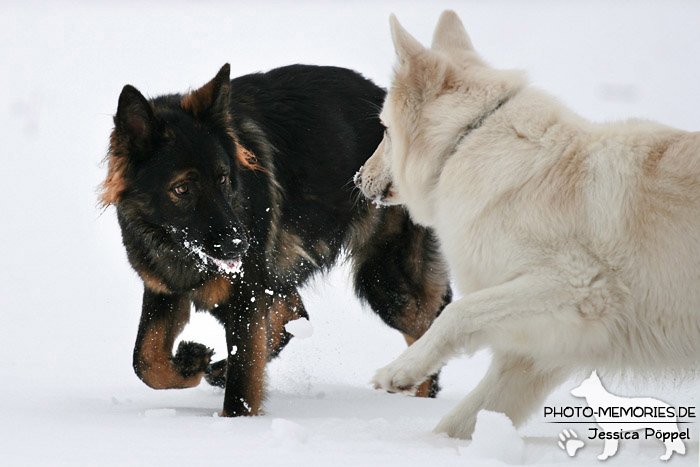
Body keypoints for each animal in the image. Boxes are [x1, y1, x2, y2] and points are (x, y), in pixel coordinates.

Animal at [98, 63, 452, 416]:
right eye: (182, 189)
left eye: (223, 179)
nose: (240, 246)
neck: (175, 245)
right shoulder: (165, 289)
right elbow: (145, 361)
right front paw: (191, 362)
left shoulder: (245, 293)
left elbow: (242, 382)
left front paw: (235, 422)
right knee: (293, 316)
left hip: (384, 281)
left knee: (428, 329)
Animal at [358, 11, 700, 442]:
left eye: (385, 130)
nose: (357, 178)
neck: (467, 140)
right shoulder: (540, 349)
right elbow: (466, 417)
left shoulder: (576, 288)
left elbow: (457, 314)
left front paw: (401, 370)